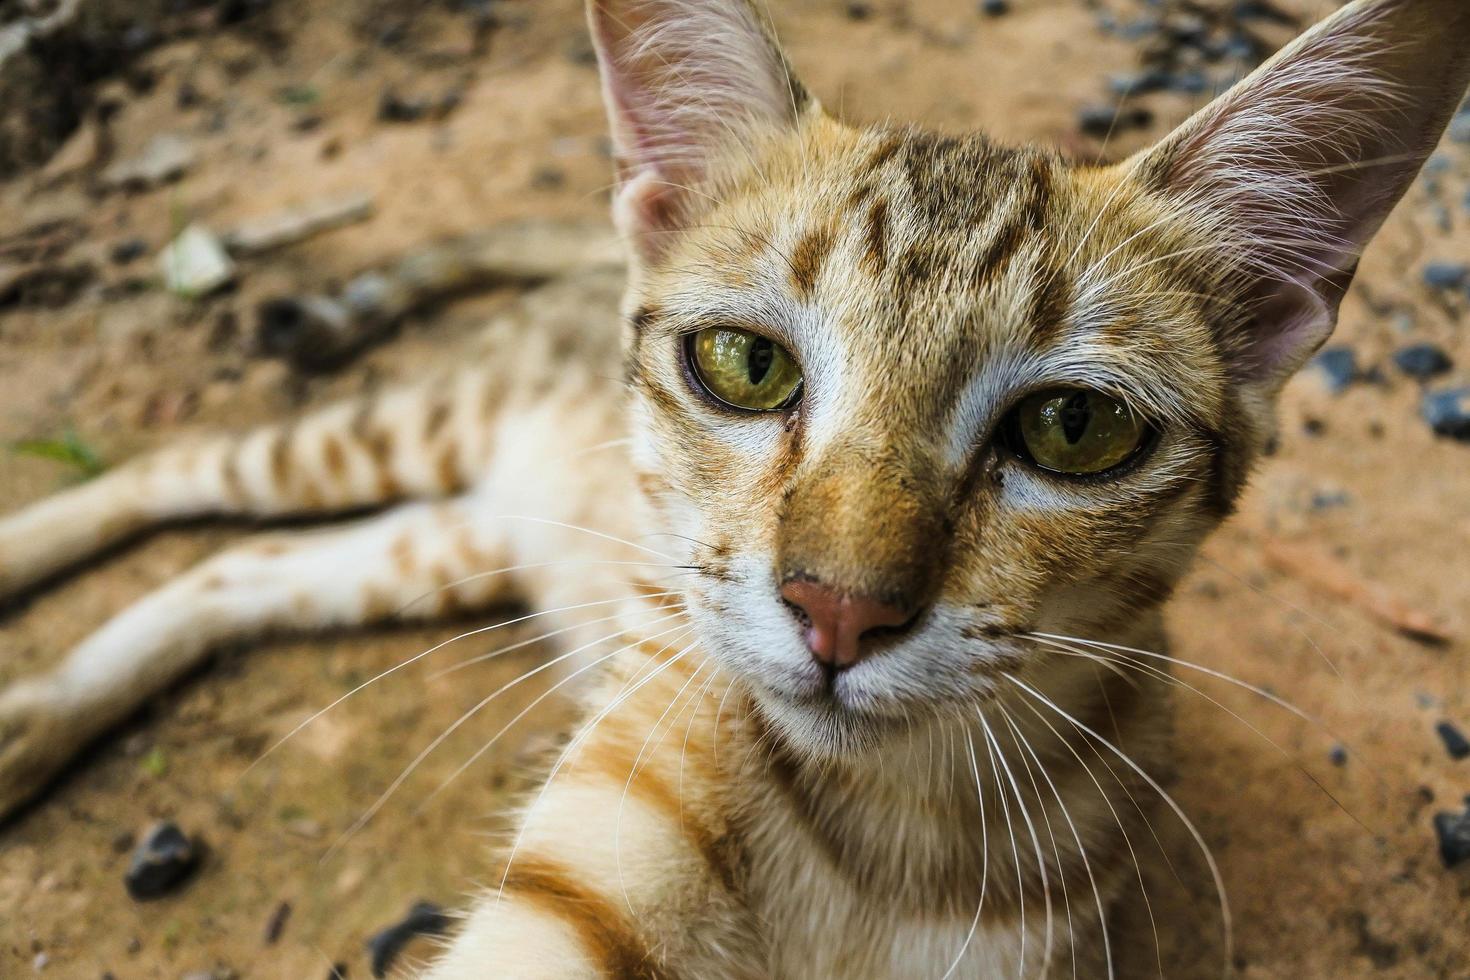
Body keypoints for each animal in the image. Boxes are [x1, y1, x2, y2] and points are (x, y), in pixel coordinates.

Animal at [2, 0, 1470, 975]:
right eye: (744, 364)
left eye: (1072, 428)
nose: (837, 610)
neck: (893, 833)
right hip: (401, 430)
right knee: (180, 474)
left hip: (461, 538)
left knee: (245, 563)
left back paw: (37, 713)